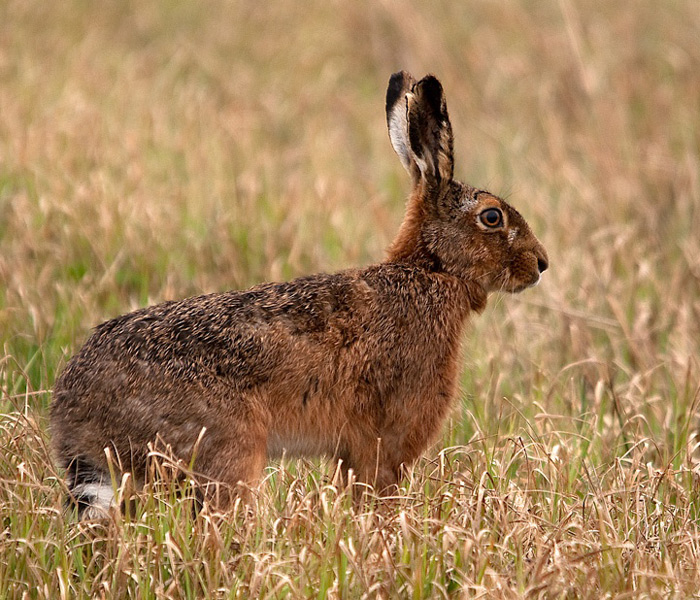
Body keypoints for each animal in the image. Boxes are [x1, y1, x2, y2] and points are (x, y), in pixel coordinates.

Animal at [51, 71, 548, 519]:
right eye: (492, 217)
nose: (541, 263)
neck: (432, 271)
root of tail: (73, 412)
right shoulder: (385, 440)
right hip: (227, 448)